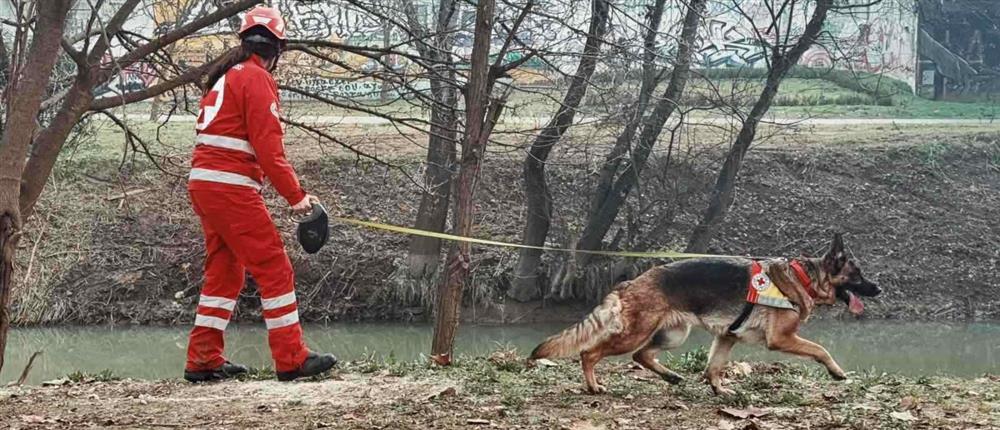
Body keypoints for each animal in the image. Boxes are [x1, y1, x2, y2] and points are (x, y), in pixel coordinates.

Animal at [528, 233, 880, 394]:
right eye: (858, 275)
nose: (878, 289)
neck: (805, 277)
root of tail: (632, 282)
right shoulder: (782, 339)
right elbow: (820, 349)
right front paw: (837, 371)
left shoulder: (726, 337)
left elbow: (714, 367)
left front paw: (719, 390)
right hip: (635, 334)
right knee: (590, 352)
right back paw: (593, 386)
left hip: (672, 335)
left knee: (642, 356)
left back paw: (670, 376)